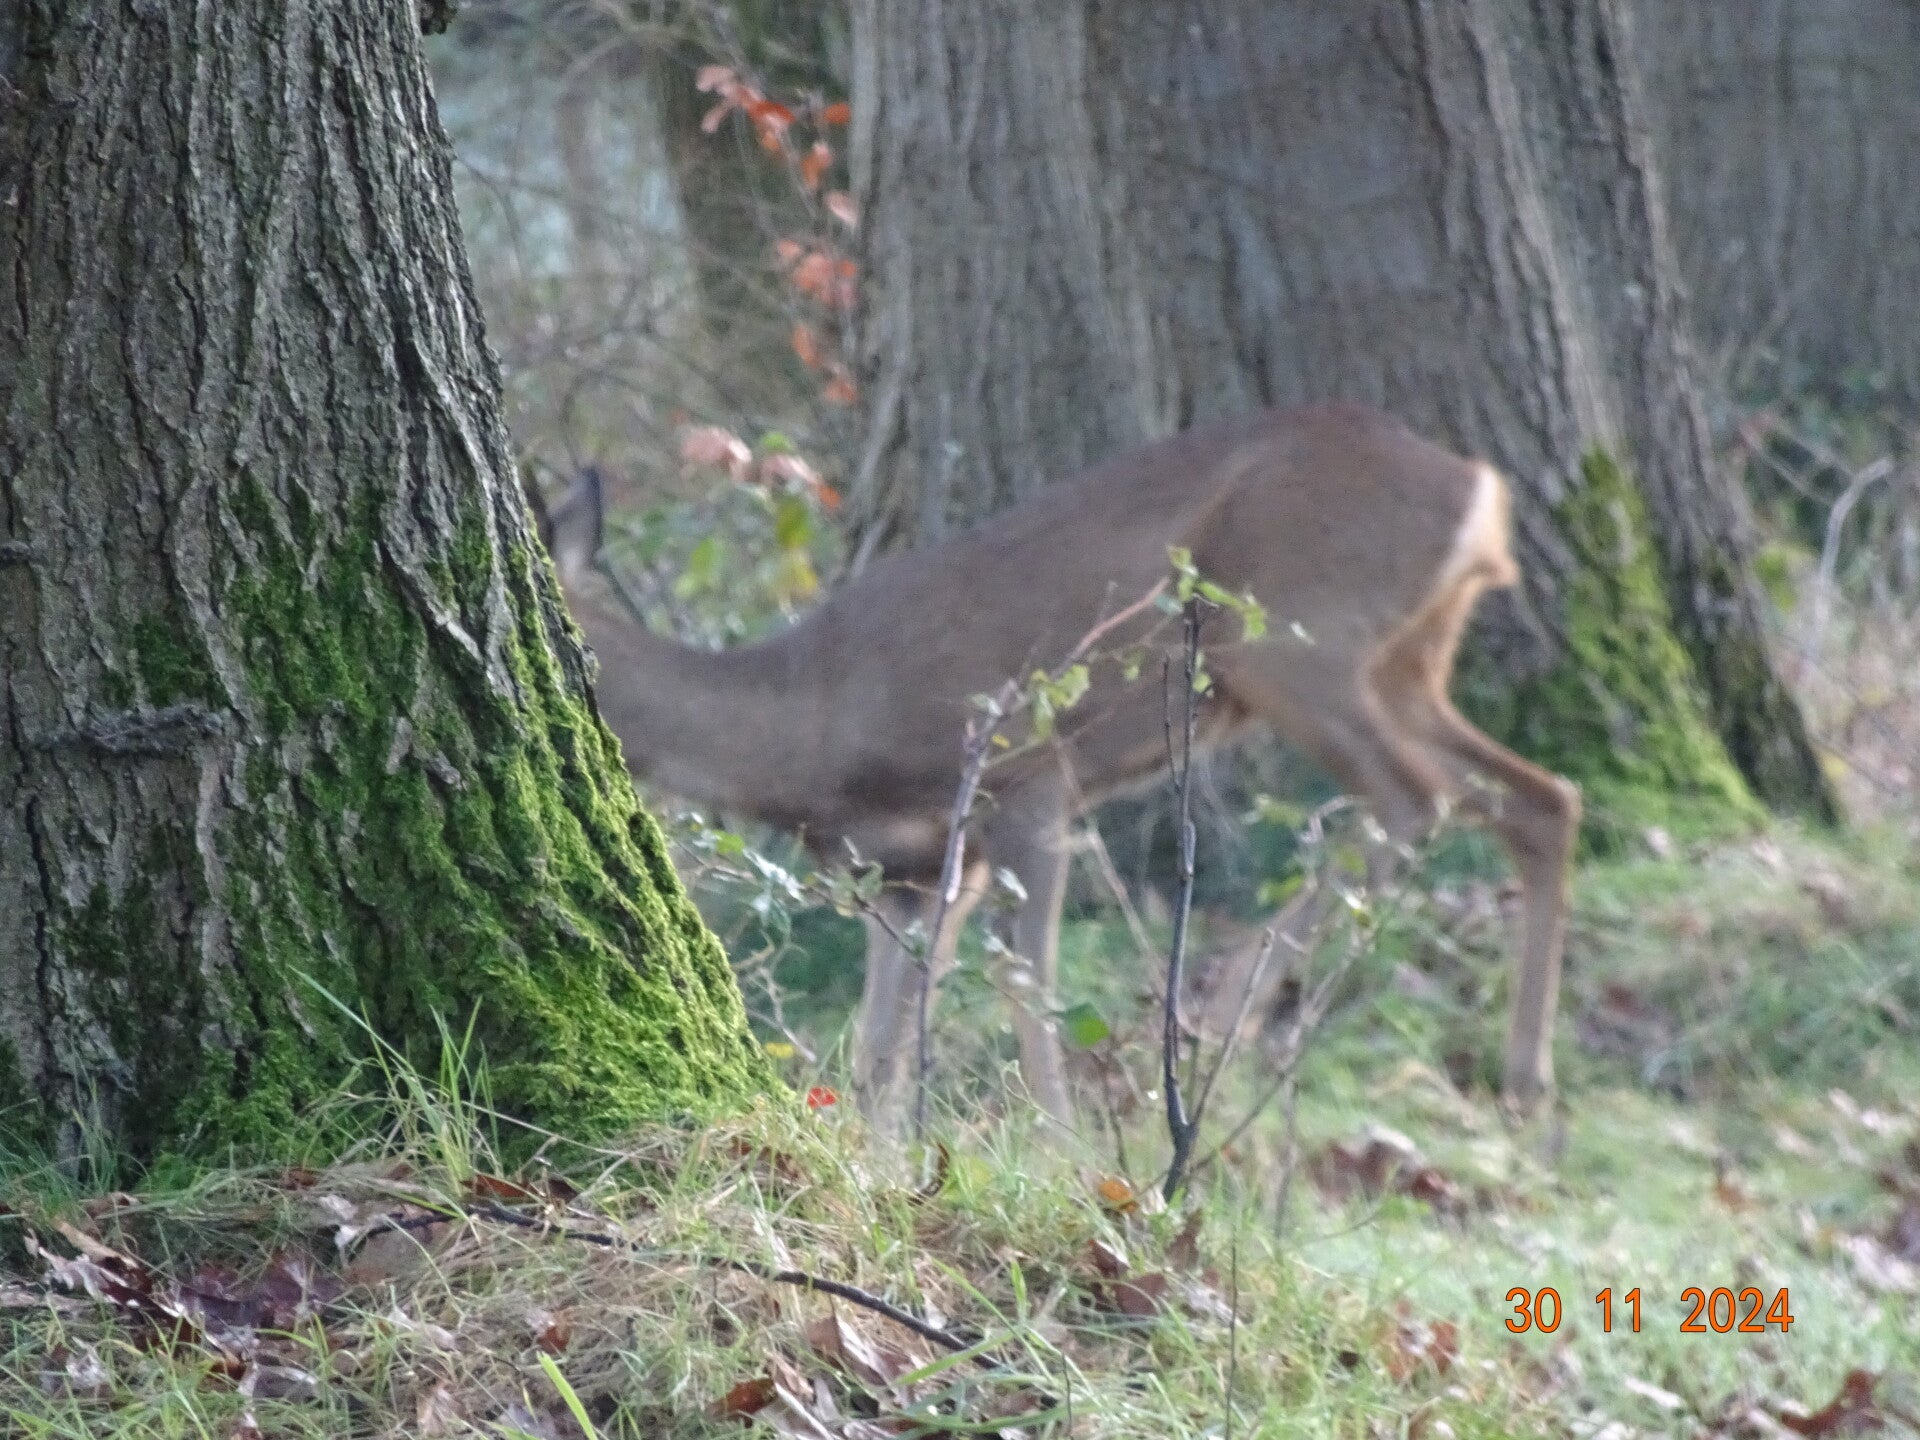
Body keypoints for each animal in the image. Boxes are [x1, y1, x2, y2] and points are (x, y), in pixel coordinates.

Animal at [539, 403, 1581, 1137]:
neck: (811, 724)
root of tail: (1478, 490)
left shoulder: (1026, 785)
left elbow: (1025, 985)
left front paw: (1062, 1149)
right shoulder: (909, 866)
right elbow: (882, 1046)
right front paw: (881, 1162)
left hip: (1292, 637)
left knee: (1414, 799)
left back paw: (1222, 1016)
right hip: (1401, 660)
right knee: (1535, 797)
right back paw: (1526, 1082)